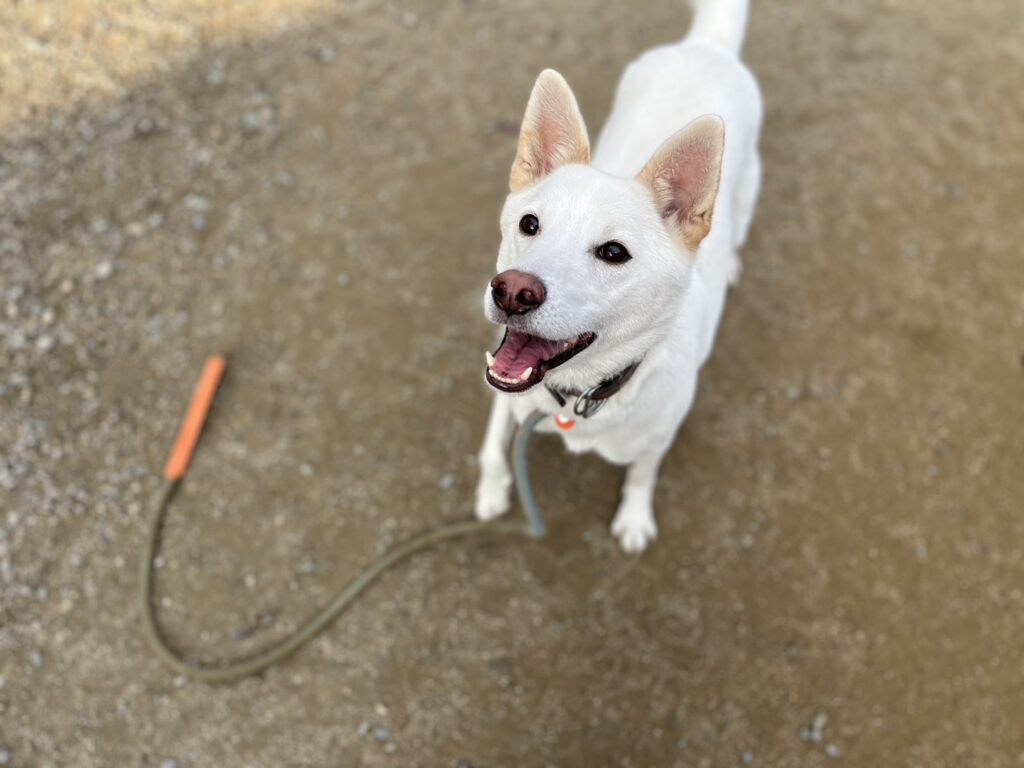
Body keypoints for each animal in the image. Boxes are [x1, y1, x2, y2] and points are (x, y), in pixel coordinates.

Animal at [474, 0, 762, 553]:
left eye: (613, 252)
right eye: (529, 224)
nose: (513, 292)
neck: (574, 396)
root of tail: (706, 45)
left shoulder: (658, 437)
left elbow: (643, 475)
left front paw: (633, 518)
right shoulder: (504, 390)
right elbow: (494, 442)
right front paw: (492, 490)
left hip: (747, 189)